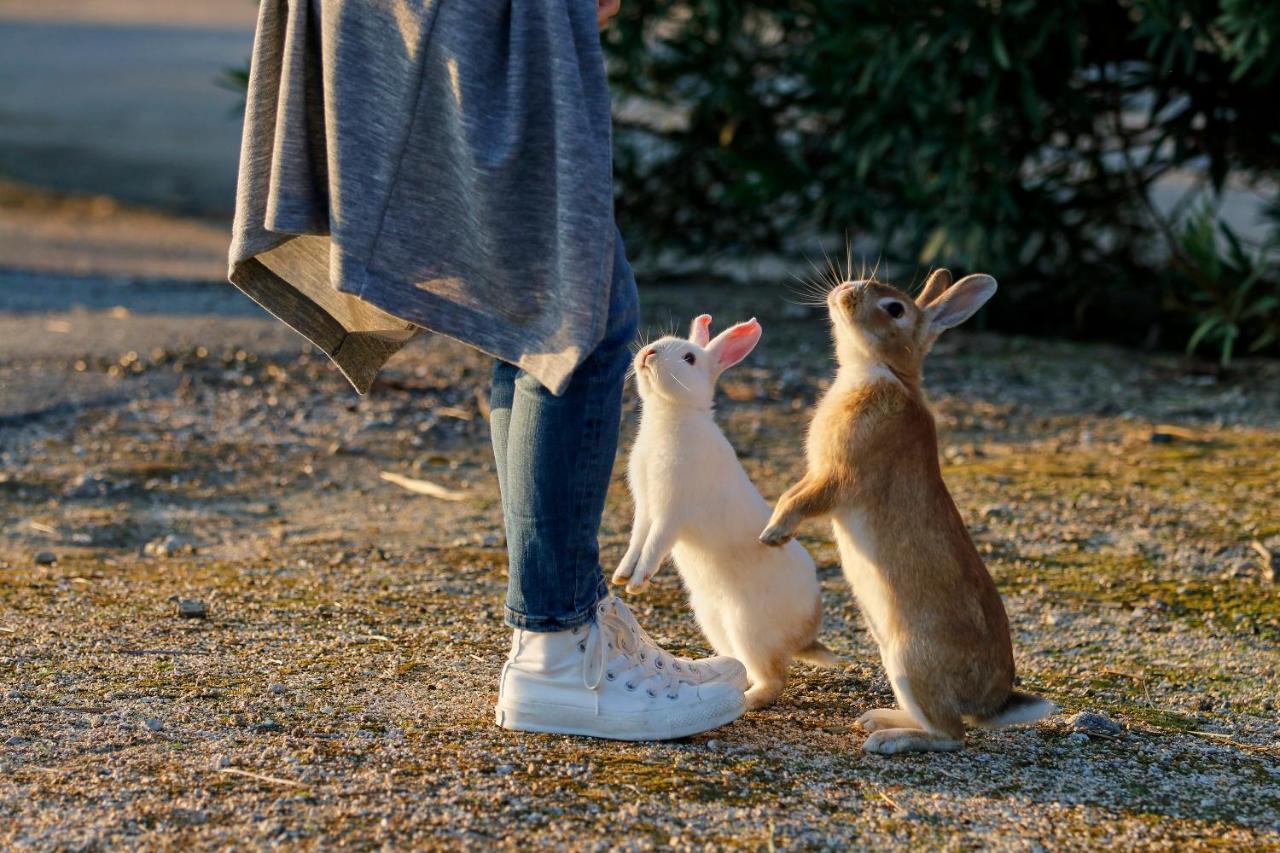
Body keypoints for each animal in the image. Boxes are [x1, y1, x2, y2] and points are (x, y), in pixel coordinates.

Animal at [611, 315, 834, 706]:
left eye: (689, 358)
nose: (648, 353)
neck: (671, 416)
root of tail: (806, 635)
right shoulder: (645, 509)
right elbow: (637, 542)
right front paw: (622, 577)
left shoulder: (671, 513)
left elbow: (654, 547)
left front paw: (638, 584)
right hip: (714, 624)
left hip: (749, 631)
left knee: (774, 678)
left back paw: (747, 701)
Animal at [757, 267, 1049, 753]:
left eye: (894, 309)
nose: (845, 290)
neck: (883, 371)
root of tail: (992, 701)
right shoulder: (817, 471)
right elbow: (794, 491)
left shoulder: (840, 476)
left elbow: (804, 500)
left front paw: (774, 534)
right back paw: (878, 719)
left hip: (911, 660)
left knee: (952, 735)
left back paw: (888, 740)